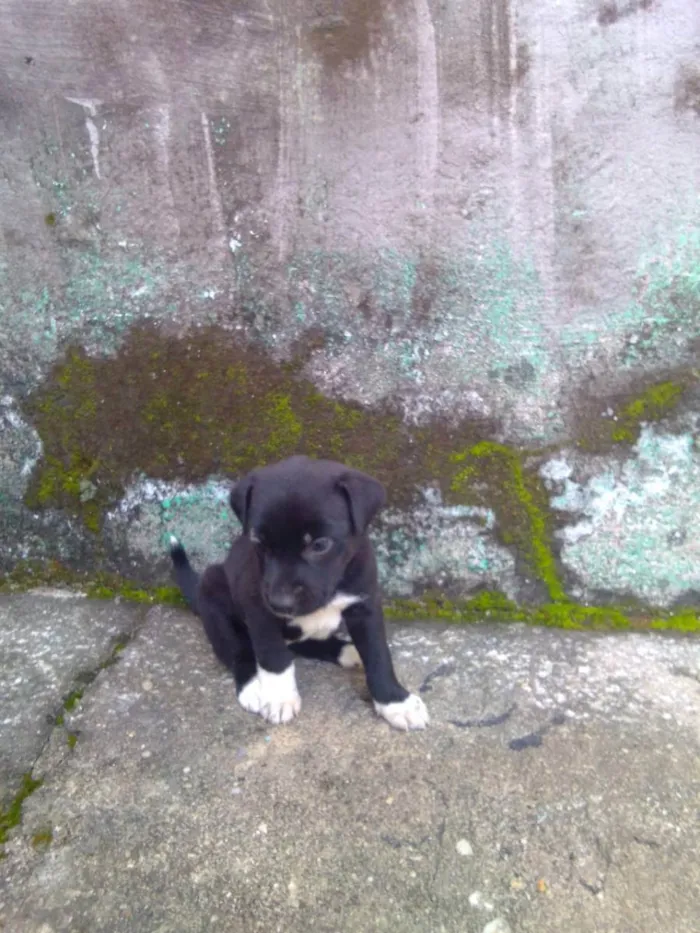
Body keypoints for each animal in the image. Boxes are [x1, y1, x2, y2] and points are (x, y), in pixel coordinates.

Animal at [170, 456, 426, 732]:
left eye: (320, 544)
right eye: (259, 543)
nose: (280, 603)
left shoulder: (365, 604)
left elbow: (379, 655)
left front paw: (396, 702)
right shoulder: (259, 610)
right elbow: (274, 657)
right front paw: (279, 698)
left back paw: (347, 651)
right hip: (214, 594)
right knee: (239, 651)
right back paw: (253, 687)